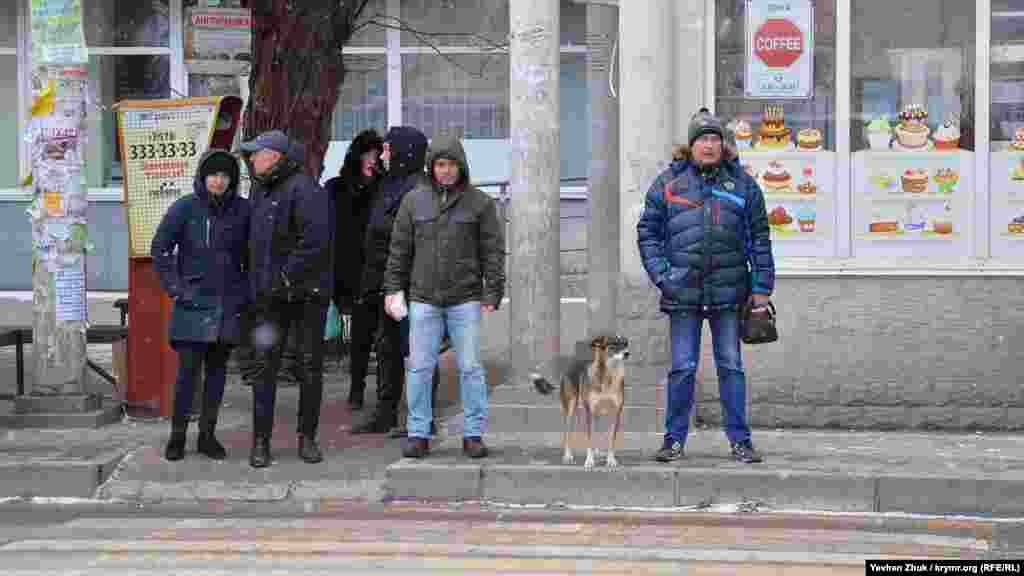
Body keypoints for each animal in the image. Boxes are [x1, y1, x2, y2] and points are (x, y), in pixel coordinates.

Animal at [532, 334, 626, 469]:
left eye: (626, 343)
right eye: (614, 343)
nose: (627, 353)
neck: (608, 377)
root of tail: (569, 366)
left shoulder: (616, 413)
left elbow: (611, 439)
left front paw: (611, 460)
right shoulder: (589, 412)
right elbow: (589, 439)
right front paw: (589, 461)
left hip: (595, 414)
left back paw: (597, 452)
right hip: (571, 409)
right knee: (567, 433)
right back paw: (568, 456)